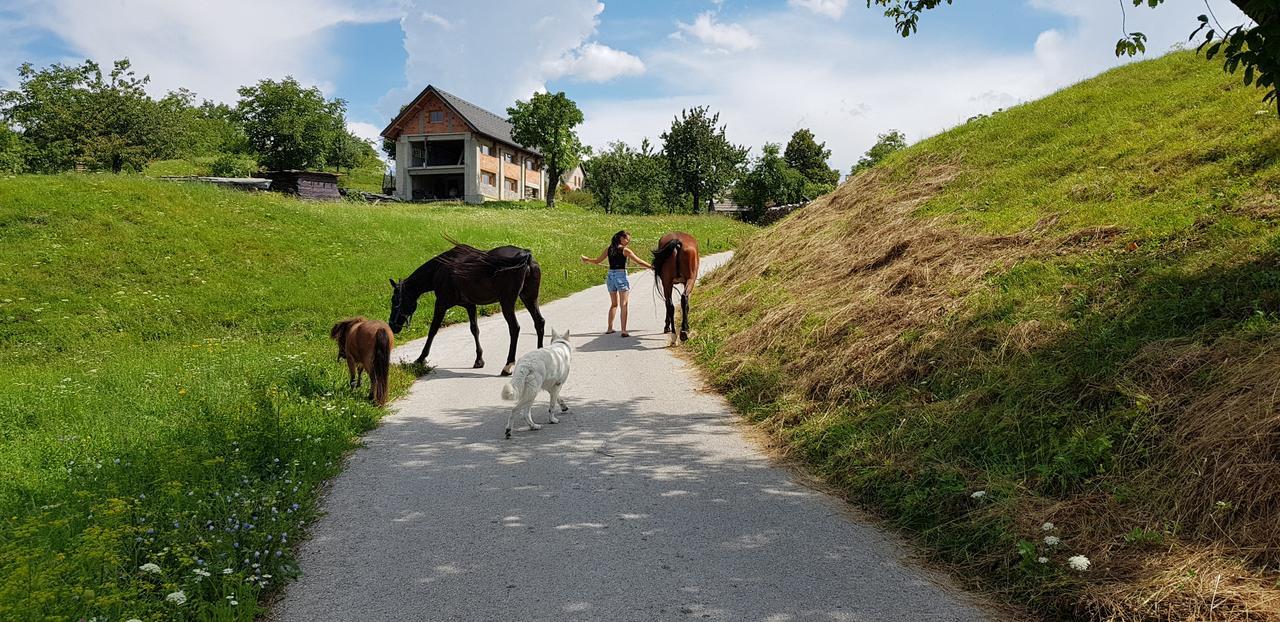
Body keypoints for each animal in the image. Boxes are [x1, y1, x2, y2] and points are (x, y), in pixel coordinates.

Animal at [384, 238, 545, 373]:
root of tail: (525, 255)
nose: (392, 325)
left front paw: (420, 359)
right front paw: (479, 360)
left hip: (507, 302)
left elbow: (433, 330)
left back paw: (508, 365)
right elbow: (475, 330)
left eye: (395, 300)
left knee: (514, 328)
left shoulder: (441, 304)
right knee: (539, 322)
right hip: (529, 298)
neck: (440, 269)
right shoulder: (470, 305)